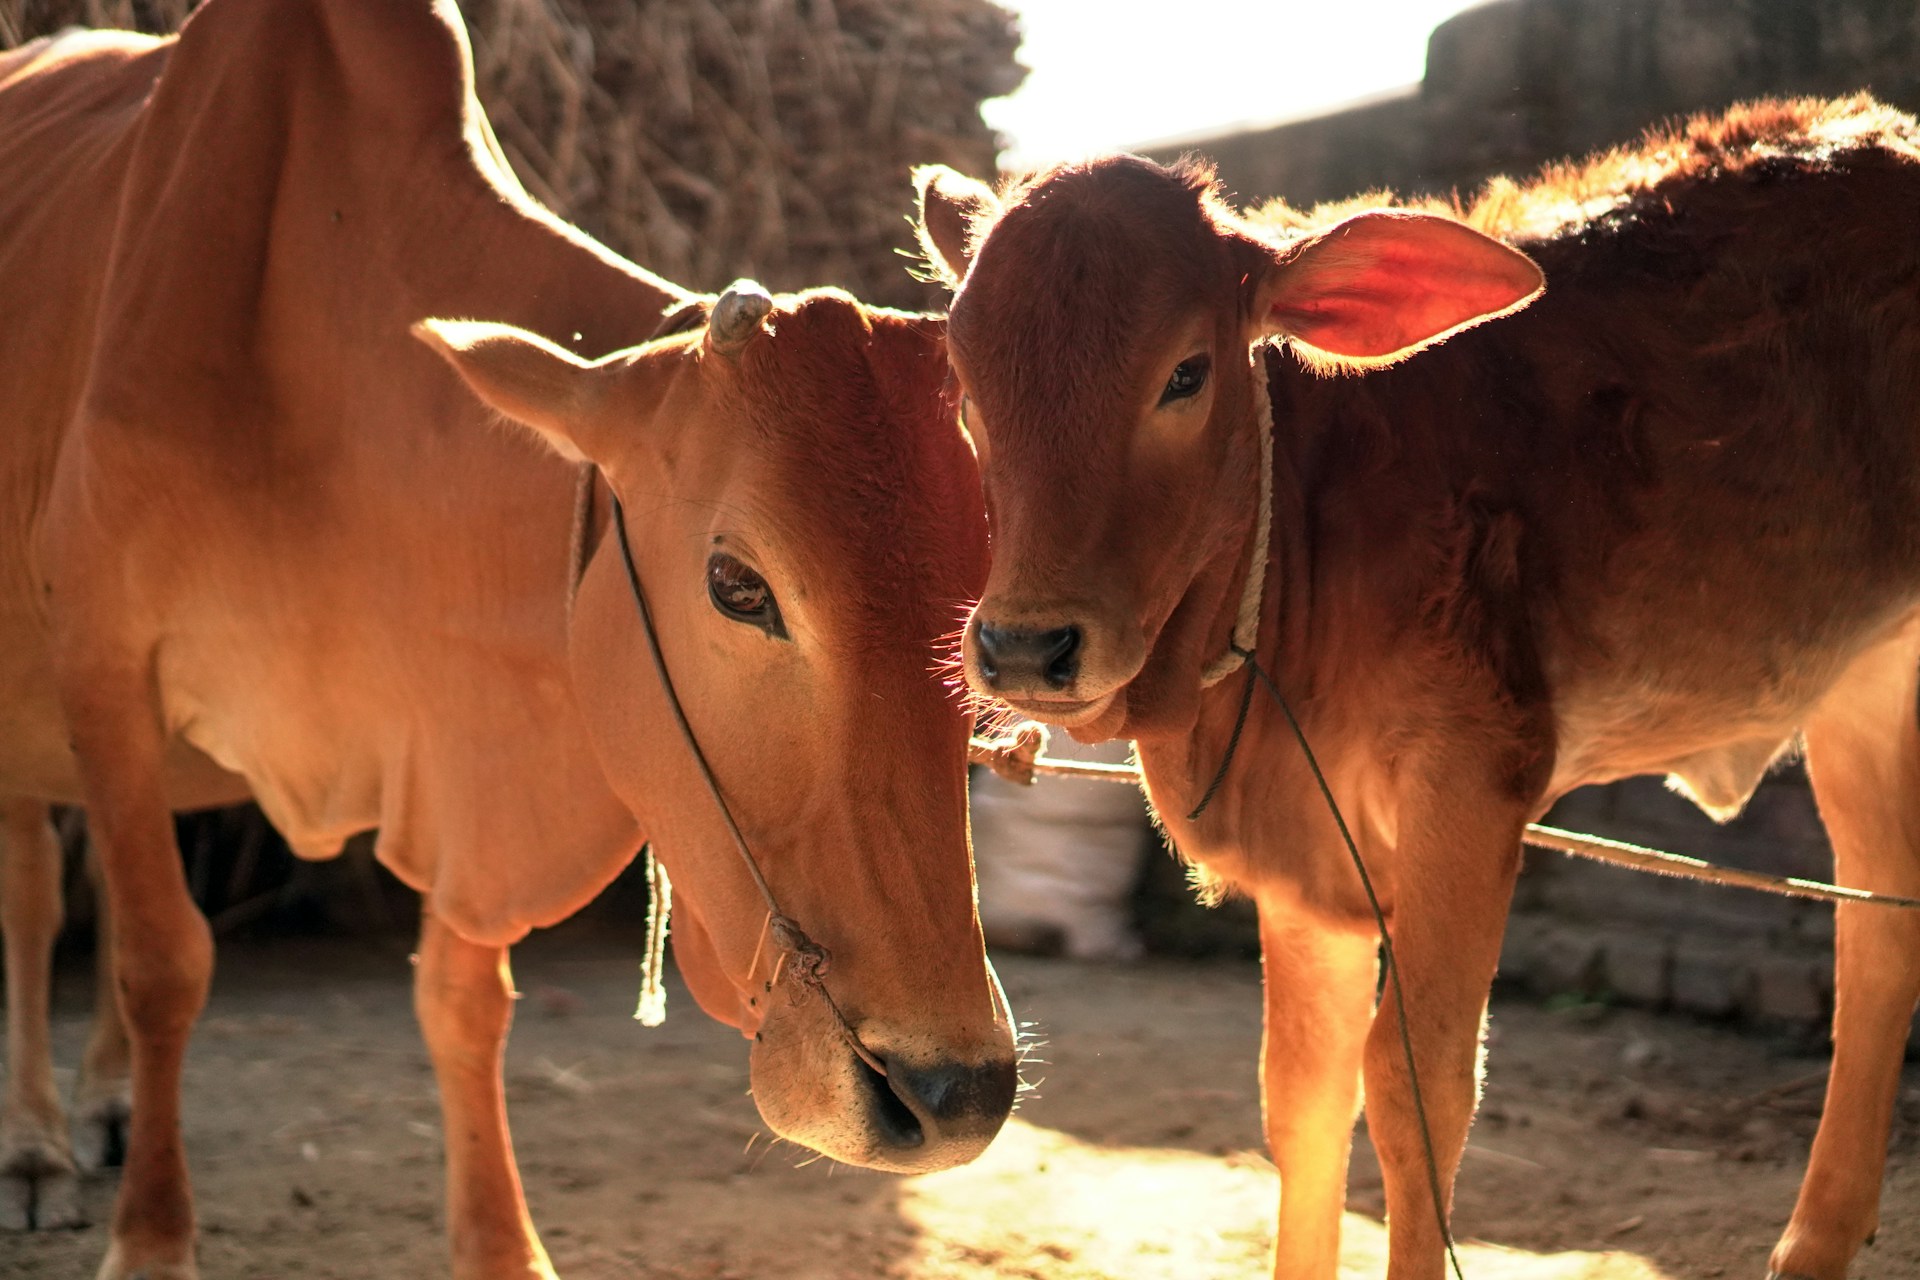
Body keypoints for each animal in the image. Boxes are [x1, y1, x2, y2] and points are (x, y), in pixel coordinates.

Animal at [0, 1, 1015, 1276]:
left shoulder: (457, 748)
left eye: (977, 606)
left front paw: (501, 1245)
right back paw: (35, 1143)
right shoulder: (106, 670)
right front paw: (150, 1237)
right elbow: (160, 960)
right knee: (38, 895)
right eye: (738, 585)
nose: (954, 1091)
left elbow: (462, 1002)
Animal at [915, 96, 1920, 1280]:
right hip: (1860, 690)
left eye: (1186, 374)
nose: (1025, 648)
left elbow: (1415, 1094)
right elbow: (1301, 1097)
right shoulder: (1309, 852)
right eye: (964, 384)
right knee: (1880, 935)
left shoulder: (1469, 787)